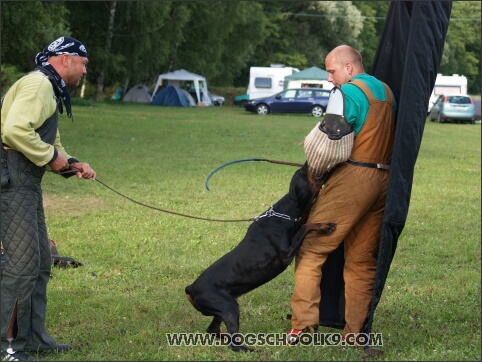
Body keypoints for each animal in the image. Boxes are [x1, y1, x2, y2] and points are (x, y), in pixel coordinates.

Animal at [185, 163, 336, 350]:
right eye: (303, 172)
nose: (306, 163)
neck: (283, 214)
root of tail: (191, 288)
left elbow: (304, 220)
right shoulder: (286, 254)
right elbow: (305, 226)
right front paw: (324, 226)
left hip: (223, 307)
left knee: (213, 329)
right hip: (228, 307)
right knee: (233, 344)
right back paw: (249, 349)